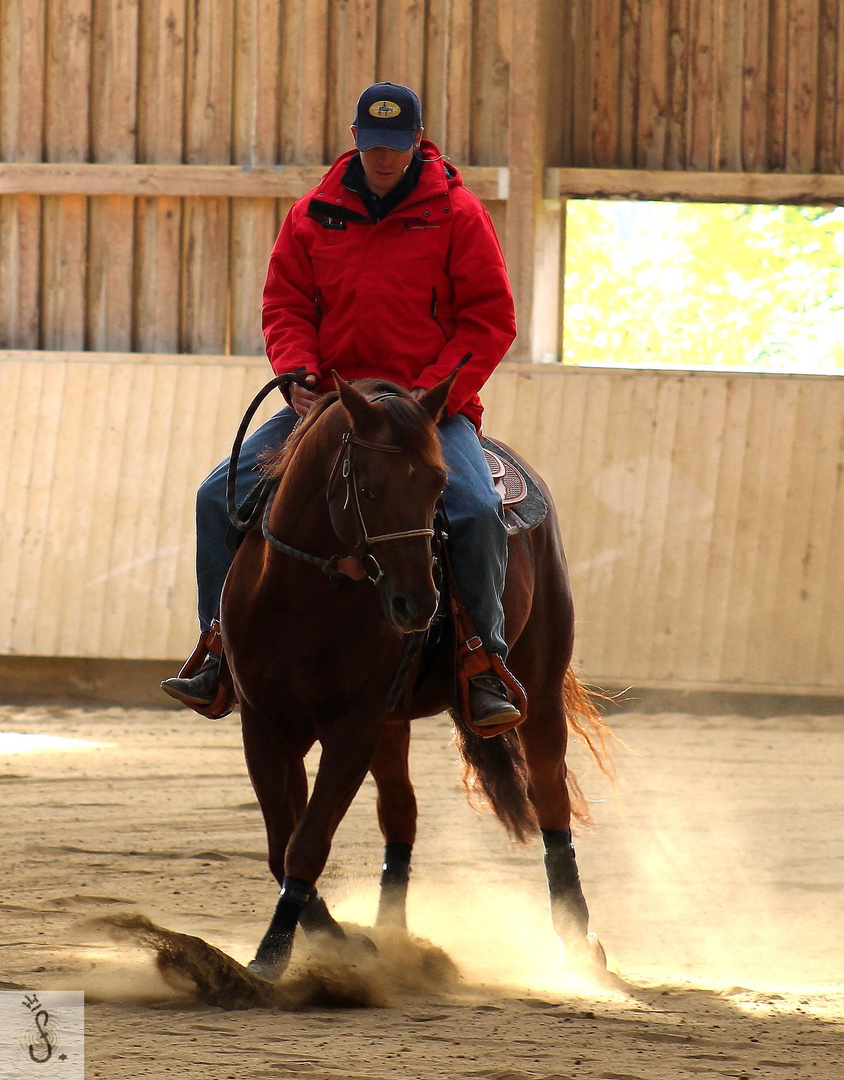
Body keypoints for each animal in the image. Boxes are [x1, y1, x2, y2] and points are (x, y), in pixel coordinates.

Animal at [220, 375, 609, 984]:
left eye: (438, 484)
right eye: (369, 489)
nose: (417, 604)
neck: (303, 598)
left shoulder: (352, 729)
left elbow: (306, 842)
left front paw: (274, 953)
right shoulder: (265, 725)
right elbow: (283, 842)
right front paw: (332, 937)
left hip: (539, 694)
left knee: (551, 797)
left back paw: (577, 940)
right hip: (392, 723)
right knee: (400, 812)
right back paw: (392, 935)